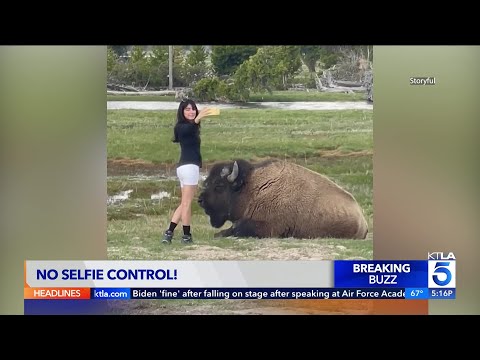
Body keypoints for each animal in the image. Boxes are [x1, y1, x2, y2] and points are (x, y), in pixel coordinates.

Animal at [197, 158, 370, 239]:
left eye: (219, 186)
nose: (200, 200)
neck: (252, 188)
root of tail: (362, 219)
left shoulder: (268, 226)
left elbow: (237, 227)